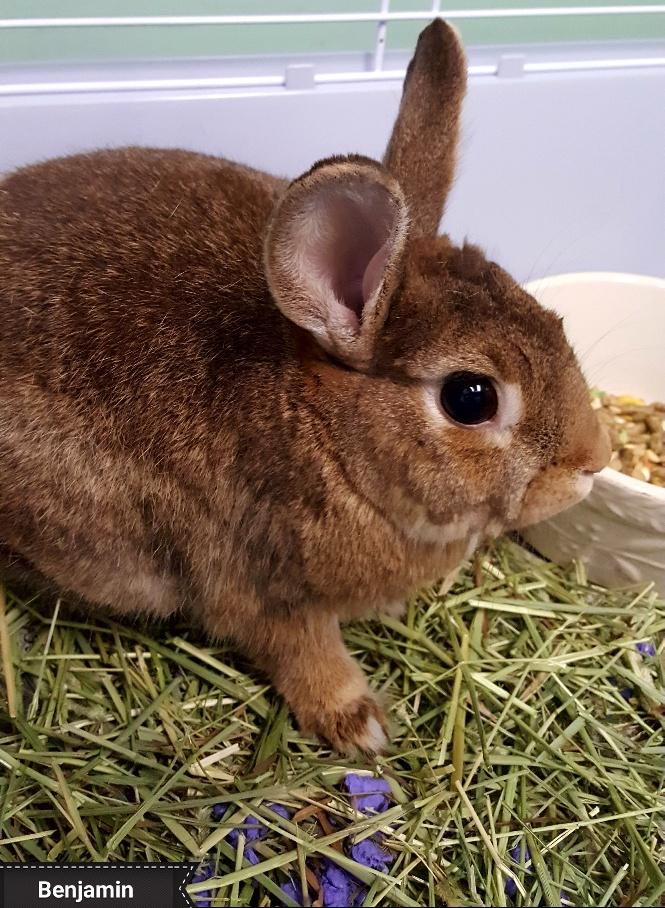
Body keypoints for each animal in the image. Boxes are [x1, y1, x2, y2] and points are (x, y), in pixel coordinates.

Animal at [0, 19, 610, 753]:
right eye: (471, 397)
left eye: (552, 320)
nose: (592, 460)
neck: (325, 436)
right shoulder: (263, 592)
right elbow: (305, 655)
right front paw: (362, 728)